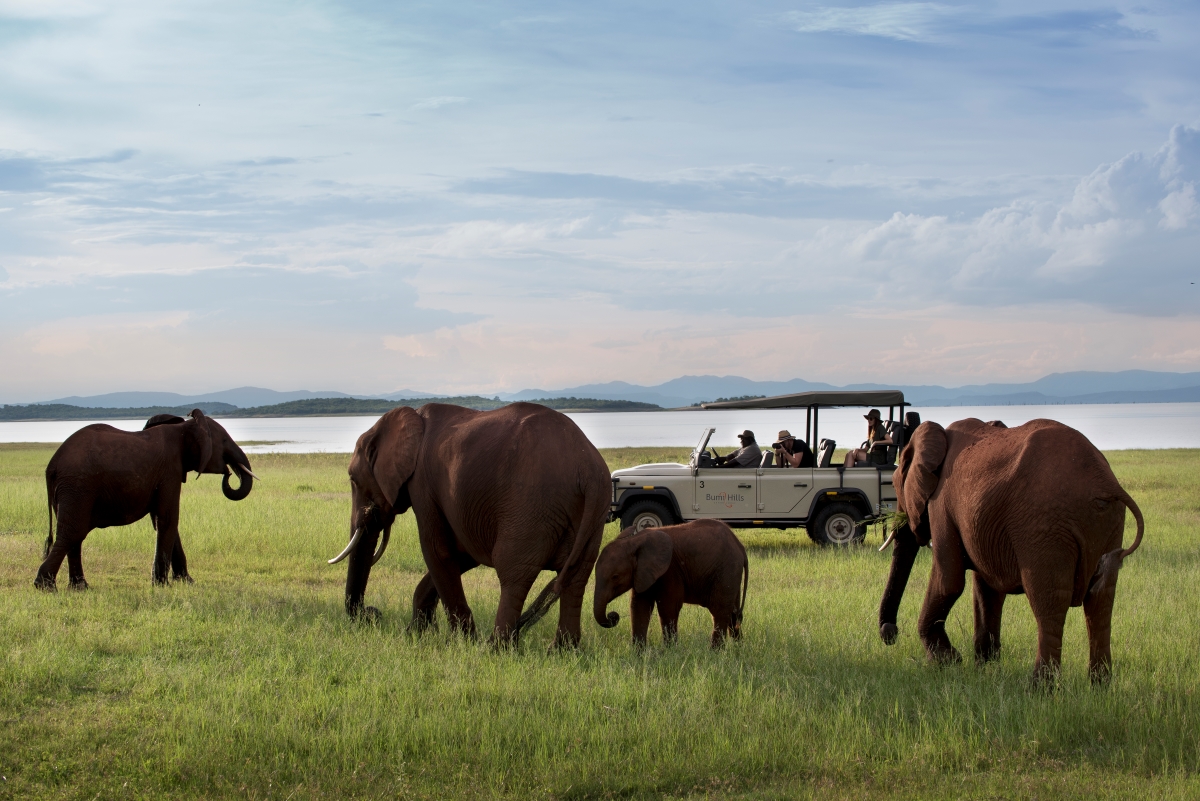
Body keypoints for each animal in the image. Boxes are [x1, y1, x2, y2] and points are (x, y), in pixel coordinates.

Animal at [36, 412, 258, 587]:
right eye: (224, 442)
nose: (228, 474)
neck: (185, 426)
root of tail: (52, 465)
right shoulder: (170, 470)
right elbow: (168, 517)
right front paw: (162, 585)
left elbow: (161, 519)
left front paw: (186, 582)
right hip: (78, 486)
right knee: (72, 532)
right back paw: (46, 586)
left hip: (70, 490)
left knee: (74, 535)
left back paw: (80, 588)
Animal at [326, 402, 609, 647]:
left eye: (352, 479)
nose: (371, 614)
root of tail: (588, 469)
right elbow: (462, 553)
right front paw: (416, 634)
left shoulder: (422, 484)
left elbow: (437, 551)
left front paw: (460, 642)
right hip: (591, 515)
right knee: (577, 576)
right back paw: (562, 650)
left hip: (532, 506)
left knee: (514, 573)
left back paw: (496, 648)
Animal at [592, 520, 748, 642]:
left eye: (615, 576)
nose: (613, 616)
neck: (634, 540)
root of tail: (740, 546)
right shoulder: (643, 572)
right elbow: (639, 607)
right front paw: (639, 656)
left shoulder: (670, 571)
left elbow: (668, 608)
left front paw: (670, 652)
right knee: (733, 614)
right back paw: (737, 649)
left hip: (727, 569)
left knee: (719, 612)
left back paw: (715, 653)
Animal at [883, 417, 1142, 685]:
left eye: (896, 486)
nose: (889, 634)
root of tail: (1103, 482)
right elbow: (987, 589)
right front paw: (985, 668)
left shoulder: (942, 503)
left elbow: (949, 581)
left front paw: (947, 662)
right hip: (1108, 522)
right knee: (1101, 599)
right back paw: (1099, 686)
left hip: (1044, 526)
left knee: (1049, 600)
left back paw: (1040, 687)